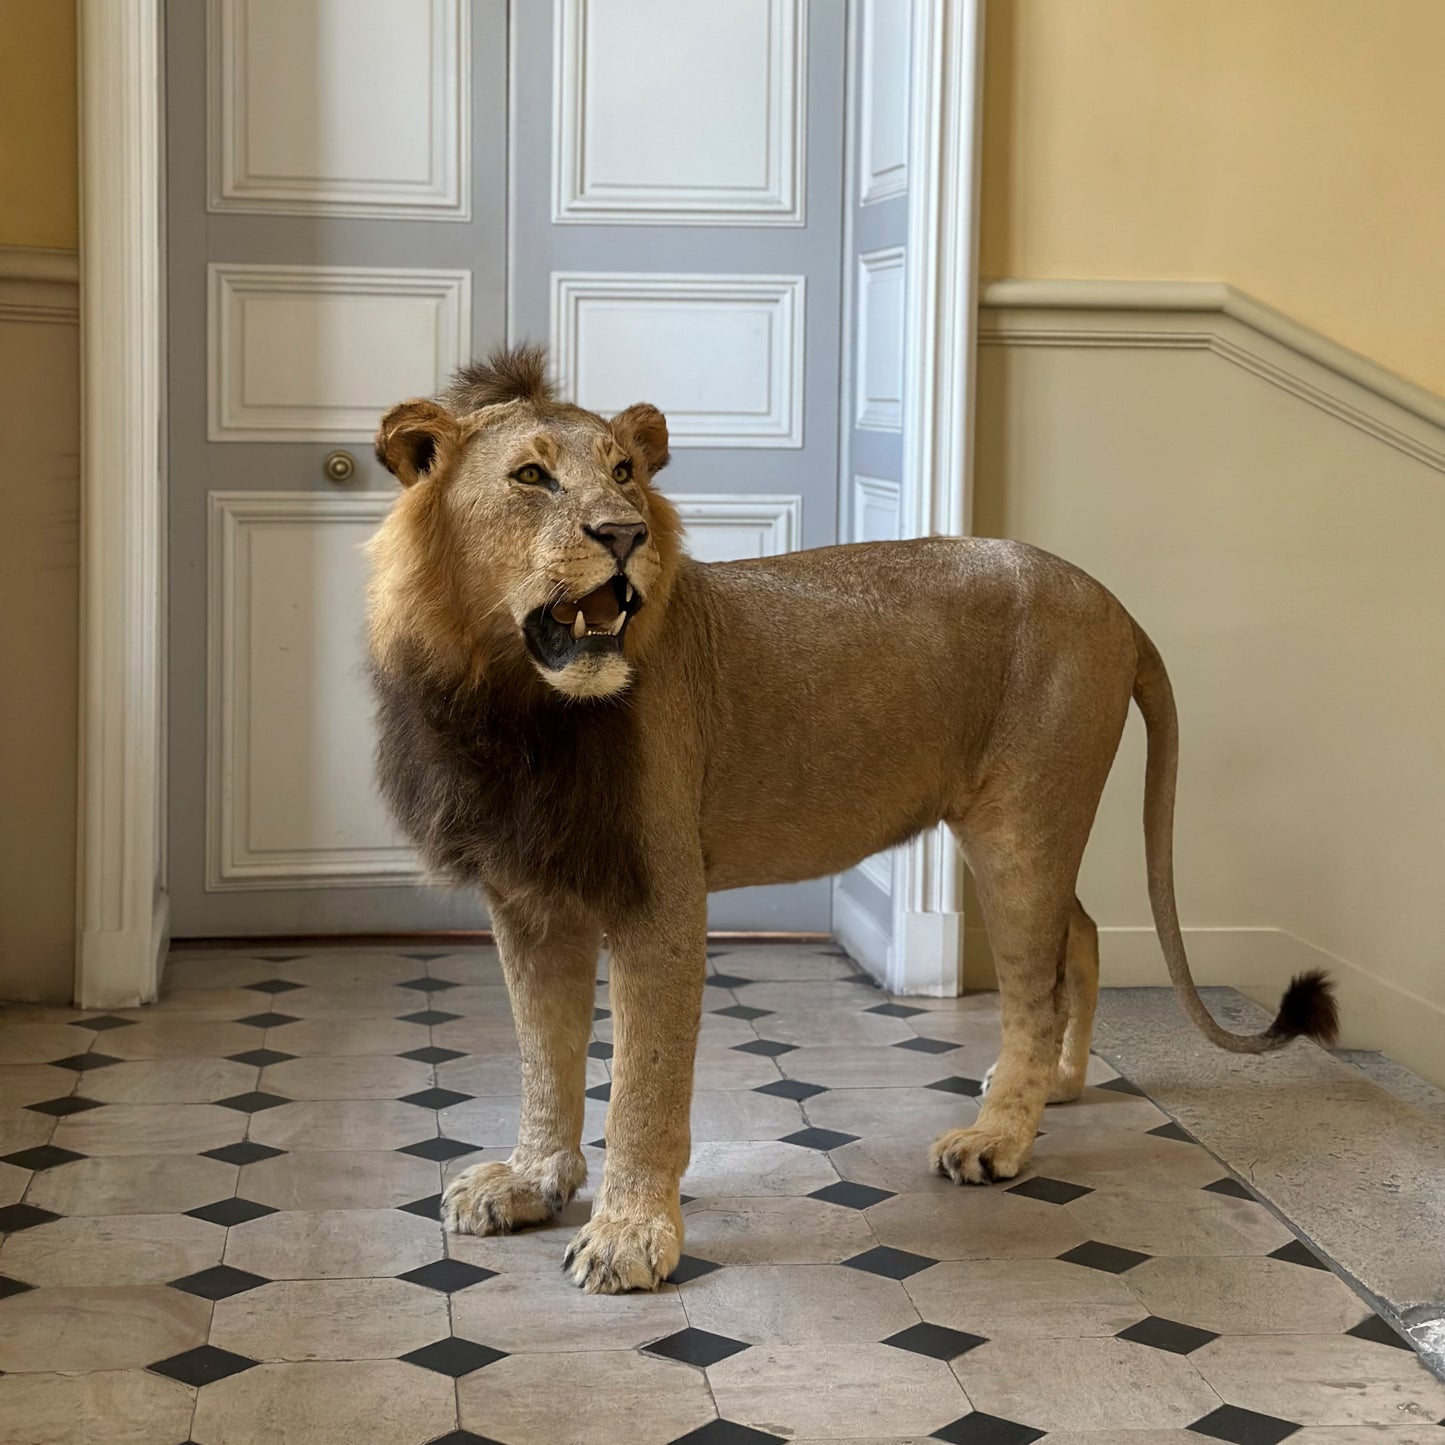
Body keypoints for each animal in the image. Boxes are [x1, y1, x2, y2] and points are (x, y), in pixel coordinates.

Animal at [366, 345, 1338, 1294]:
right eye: (531, 476)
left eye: (625, 474)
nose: (624, 535)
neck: (512, 704)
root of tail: (1113, 603)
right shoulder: (527, 895)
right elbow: (544, 1052)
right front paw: (530, 1181)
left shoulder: (659, 893)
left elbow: (643, 1078)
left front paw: (628, 1235)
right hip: (1033, 828)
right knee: (1084, 936)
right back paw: (1056, 1086)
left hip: (1019, 826)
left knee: (1038, 982)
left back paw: (999, 1135)